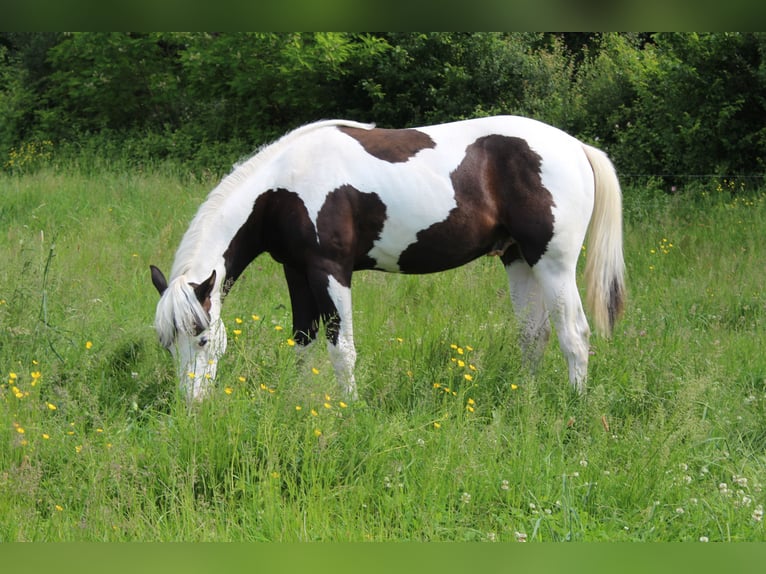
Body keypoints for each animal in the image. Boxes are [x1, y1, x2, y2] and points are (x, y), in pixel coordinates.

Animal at [150, 116, 625, 402]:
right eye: (168, 343)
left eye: (203, 340)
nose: (192, 405)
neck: (284, 187)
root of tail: (577, 147)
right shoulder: (296, 270)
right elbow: (303, 341)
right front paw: (300, 403)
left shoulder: (331, 271)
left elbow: (341, 348)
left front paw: (350, 408)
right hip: (518, 260)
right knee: (534, 335)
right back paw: (524, 398)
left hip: (553, 264)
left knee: (574, 335)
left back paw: (574, 406)